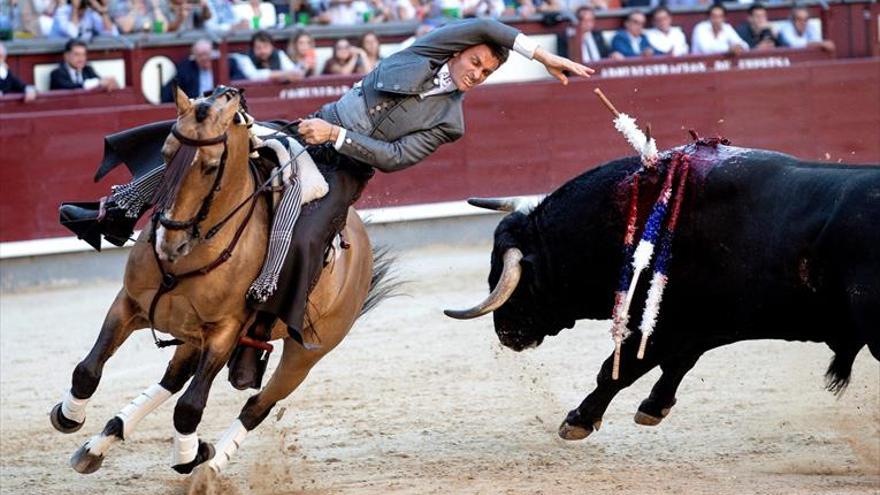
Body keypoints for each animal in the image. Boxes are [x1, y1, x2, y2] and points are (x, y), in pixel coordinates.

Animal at [49, 86, 378, 476]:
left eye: (209, 166)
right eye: (165, 154)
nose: (170, 243)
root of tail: (360, 239)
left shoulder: (225, 332)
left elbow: (190, 408)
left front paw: (192, 456)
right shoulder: (128, 303)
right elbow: (88, 370)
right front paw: (69, 417)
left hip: (305, 353)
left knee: (256, 406)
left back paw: (207, 470)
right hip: (189, 333)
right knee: (173, 379)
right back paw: (98, 445)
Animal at [450, 141, 876, 440]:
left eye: (518, 281)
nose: (505, 333)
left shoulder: (663, 325)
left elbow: (616, 371)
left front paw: (579, 420)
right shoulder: (699, 325)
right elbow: (677, 364)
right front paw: (654, 407)